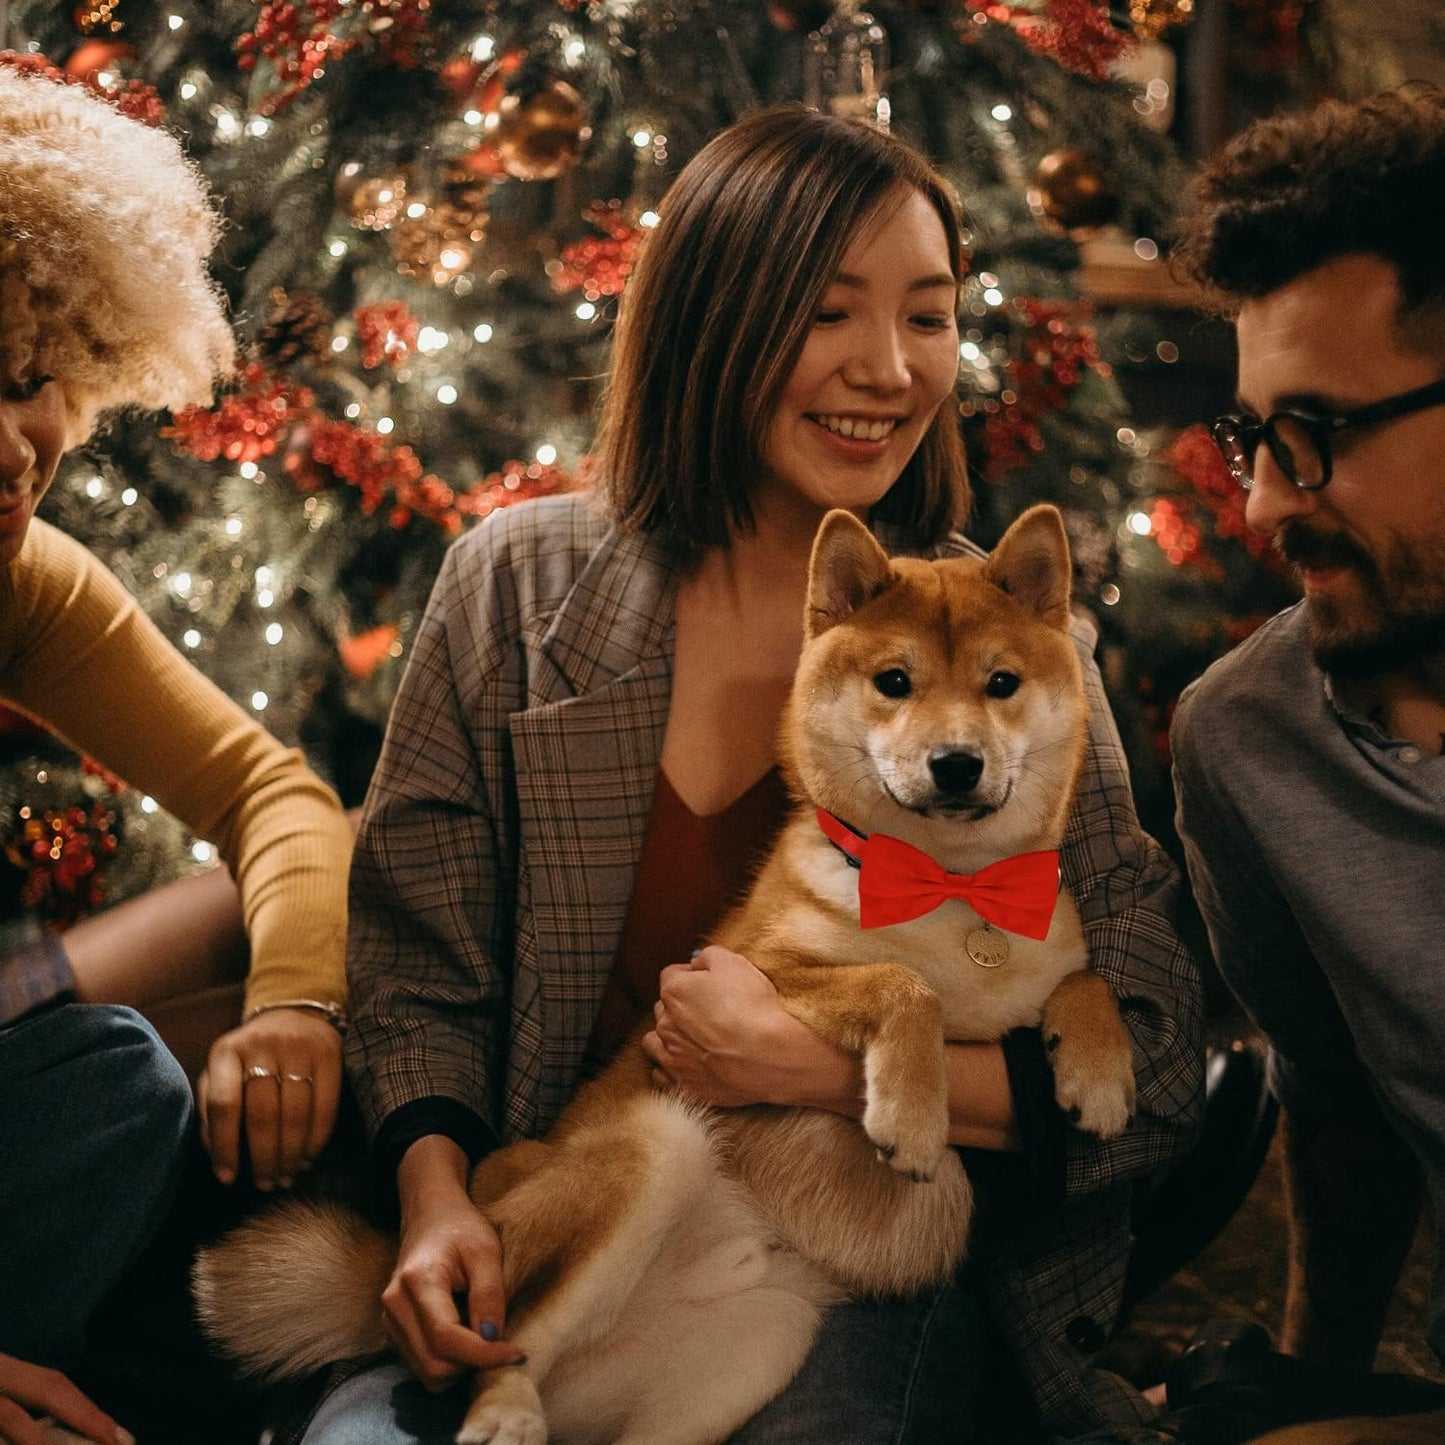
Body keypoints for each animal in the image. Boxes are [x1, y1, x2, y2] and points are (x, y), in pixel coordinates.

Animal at [195, 502, 1138, 1439]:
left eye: (1001, 683)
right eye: (894, 681)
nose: (955, 762)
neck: (949, 882)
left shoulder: (1049, 945)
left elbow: (1087, 981)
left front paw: (1097, 1074)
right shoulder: (745, 969)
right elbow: (901, 985)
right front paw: (912, 1112)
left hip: (755, 1346)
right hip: (650, 1148)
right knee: (514, 1337)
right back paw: (504, 1410)